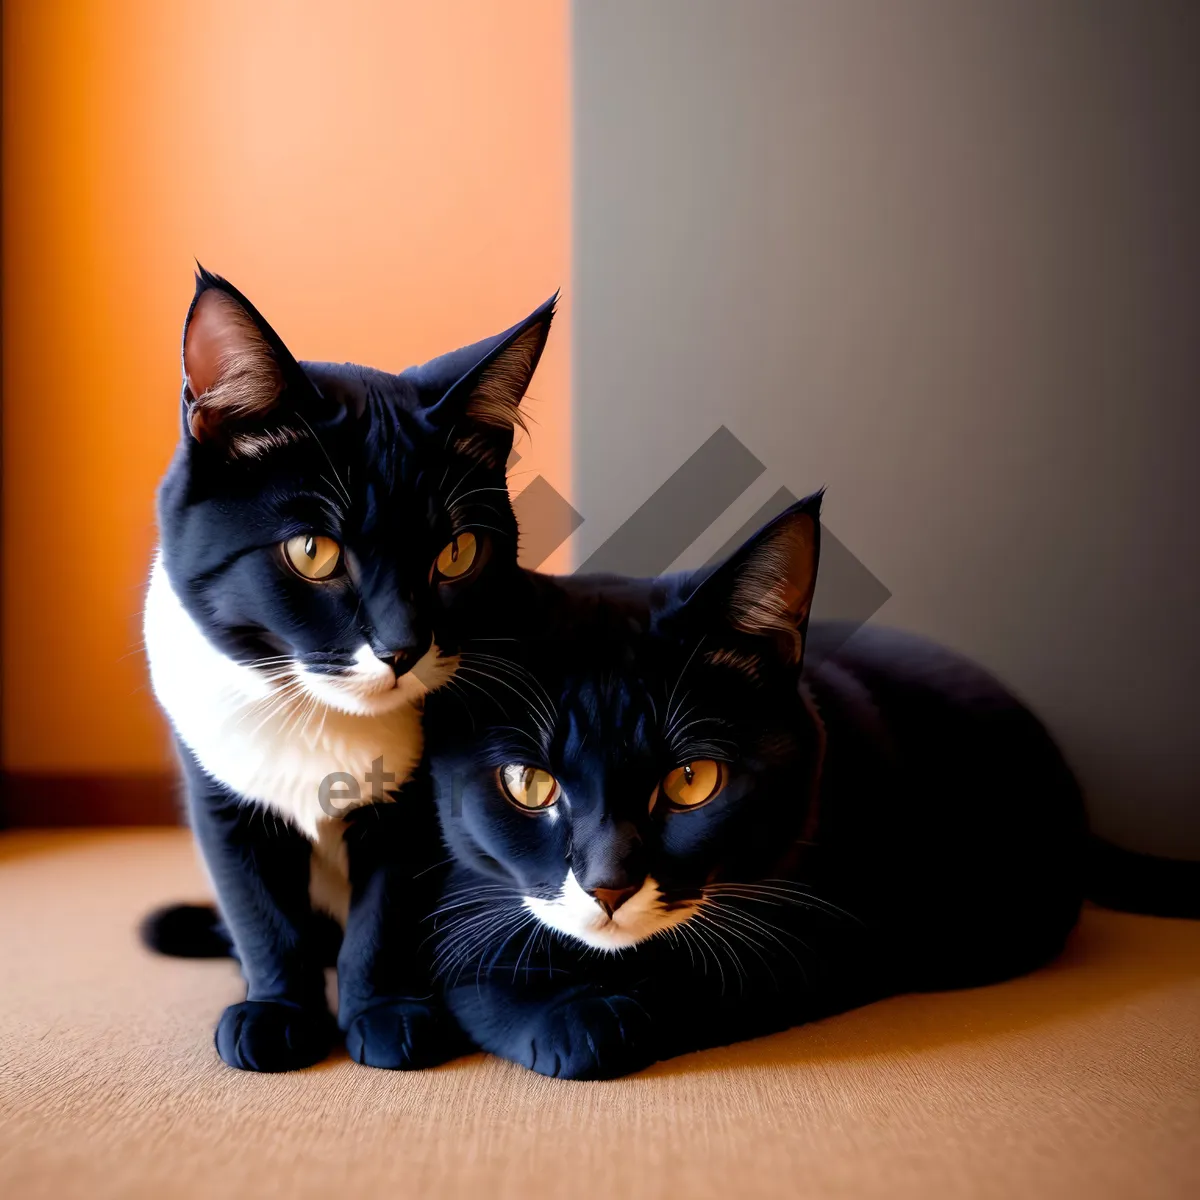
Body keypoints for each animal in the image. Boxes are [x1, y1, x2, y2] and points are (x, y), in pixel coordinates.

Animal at [145, 270, 552, 1070]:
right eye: (313, 551)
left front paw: (386, 1015)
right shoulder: (220, 797)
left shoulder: (418, 812)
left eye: (457, 552)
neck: (320, 720)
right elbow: (260, 913)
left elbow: (385, 917)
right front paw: (275, 1012)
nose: (402, 648)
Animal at [422, 492, 1089, 1084]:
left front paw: (604, 1020)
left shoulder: (825, 929)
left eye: (692, 780)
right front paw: (575, 1019)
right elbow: (478, 970)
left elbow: (726, 977)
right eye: (530, 783)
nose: (609, 887)